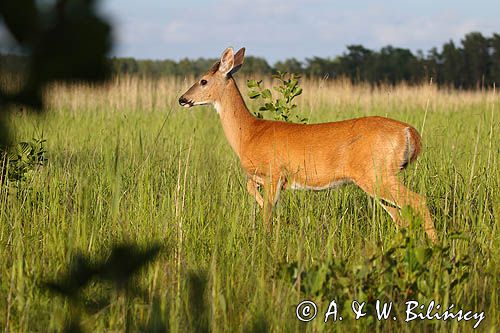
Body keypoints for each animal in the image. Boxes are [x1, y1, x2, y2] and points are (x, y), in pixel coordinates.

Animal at [180, 46, 438, 241]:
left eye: (203, 81)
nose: (182, 99)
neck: (249, 133)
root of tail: (409, 132)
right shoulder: (264, 176)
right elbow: (251, 188)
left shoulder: (274, 171)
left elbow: (268, 211)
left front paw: (267, 238)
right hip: (378, 177)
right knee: (400, 216)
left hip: (377, 173)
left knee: (417, 201)